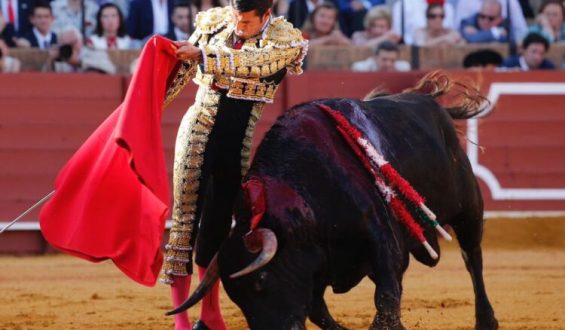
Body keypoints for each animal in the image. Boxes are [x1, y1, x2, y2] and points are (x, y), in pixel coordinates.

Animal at [167, 73, 498, 330]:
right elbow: (319, 310)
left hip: (469, 206)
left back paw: (486, 320)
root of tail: (429, 103)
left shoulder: (380, 236)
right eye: (236, 296)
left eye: (260, 280)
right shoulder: (313, 265)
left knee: (473, 257)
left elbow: (386, 293)